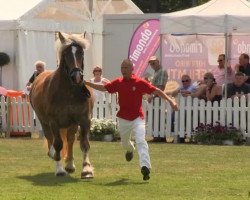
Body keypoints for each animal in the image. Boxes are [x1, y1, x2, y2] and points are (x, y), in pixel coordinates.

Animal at [29, 32, 94, 178]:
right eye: (66, 54)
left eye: (81, 52)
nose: (77, 76)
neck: (69, 92)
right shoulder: (53, 122)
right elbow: (58, 144)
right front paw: (59, 169)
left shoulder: (84, 120)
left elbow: (84, 144)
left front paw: (86, 169)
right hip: (44, 121)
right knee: (50, 138)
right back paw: (53, 154)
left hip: (72, 124)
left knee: (70, 140)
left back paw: (69, 164)